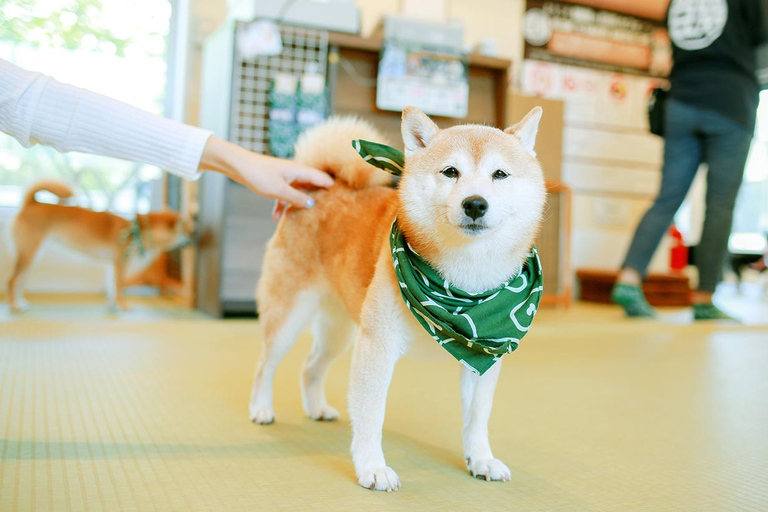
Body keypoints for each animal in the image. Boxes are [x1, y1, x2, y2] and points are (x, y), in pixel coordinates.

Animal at [8, 181, 191, 312]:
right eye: (186, 231)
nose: (192, 237)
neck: (136, 232)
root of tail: (31, 203)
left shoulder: (111, 264)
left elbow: (112, 286)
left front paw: (112, 305)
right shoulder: (120, 263)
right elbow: (119, 287)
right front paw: (122, 306)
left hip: (33, 256)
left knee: (19, 281)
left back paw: (21, 301)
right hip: (28, 253)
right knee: (12, 280)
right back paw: (15, 305)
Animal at [250, 106, 544, 490]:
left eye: (500, 174)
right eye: (451, 172)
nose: (475, 204)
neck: (463, 284)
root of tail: (325, 184)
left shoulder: (484, 351)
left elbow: (477, 418)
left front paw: (481, 459)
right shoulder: (378, 345)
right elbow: (371, 413)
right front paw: (371, 466)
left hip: (340, 331)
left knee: (310, 366)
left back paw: (316, 409)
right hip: (290, 315)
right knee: (265, 364)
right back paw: (261, 408)